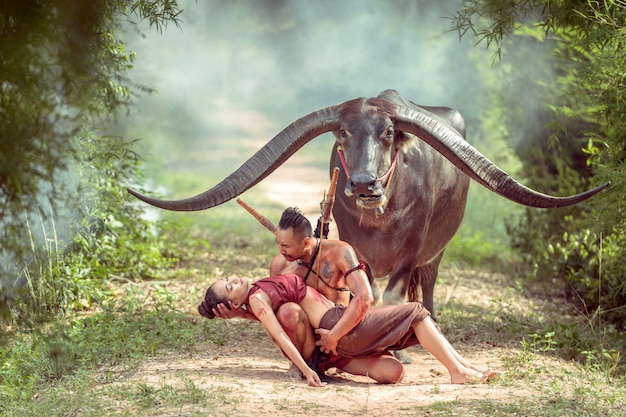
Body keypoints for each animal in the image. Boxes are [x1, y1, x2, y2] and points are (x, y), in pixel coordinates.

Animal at [125, 88, 604, 318]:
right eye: (342, 133)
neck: (380, 218)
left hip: (437, 253)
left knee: (429, 287)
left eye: (389, 133)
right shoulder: (355, 250)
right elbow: (367, 290)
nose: (363, 184)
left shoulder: (412, 253)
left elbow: (393, 295)